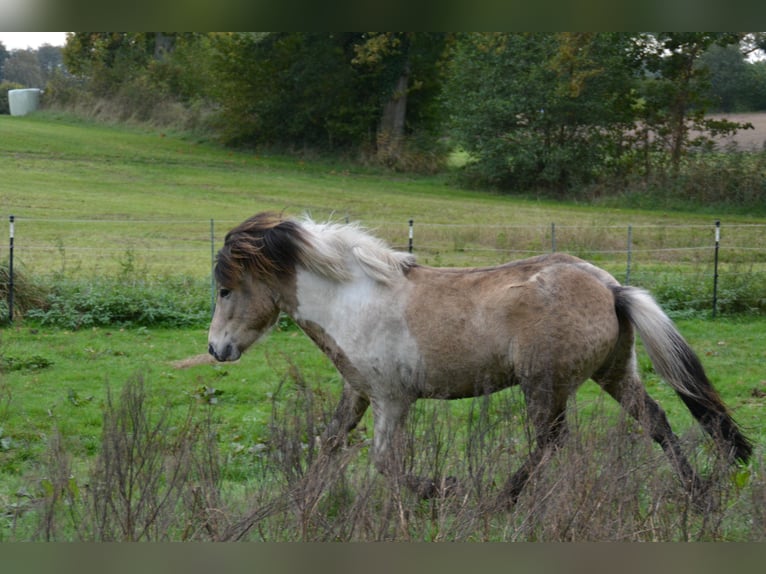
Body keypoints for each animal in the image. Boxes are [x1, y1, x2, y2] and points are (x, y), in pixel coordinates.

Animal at [207, 211, 752, 504]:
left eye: (224, 289)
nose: (216, 350)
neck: (352, 300)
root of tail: (611, 287)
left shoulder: (391, 399)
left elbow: (385, 461)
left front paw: (443, 489)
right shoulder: (357, 392)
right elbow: (329, 443)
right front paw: (298, 499)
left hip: (544, 386)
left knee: (551, 441)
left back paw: (501, 498)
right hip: (615, 373)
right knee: (656, 421)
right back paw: (699, 493)